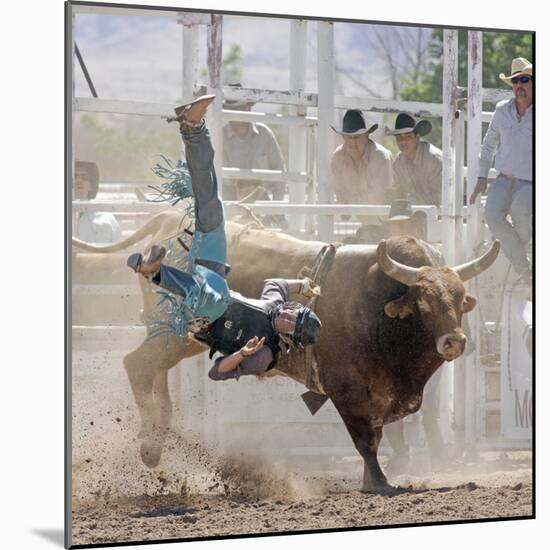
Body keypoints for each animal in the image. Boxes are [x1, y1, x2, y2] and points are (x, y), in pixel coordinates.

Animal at [71, 212, 498, 496]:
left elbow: (380, 434)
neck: (380, 308)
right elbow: (366, 439)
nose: (454, 341)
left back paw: (157, 437)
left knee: (152, 371)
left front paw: (371, 480)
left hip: (177, 337)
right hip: (175, 335)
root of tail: (167, 222)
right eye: (424, 302)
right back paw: (149, 447)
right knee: (136, 365)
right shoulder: (345, 390)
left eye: (460, 299)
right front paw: (379, 483)